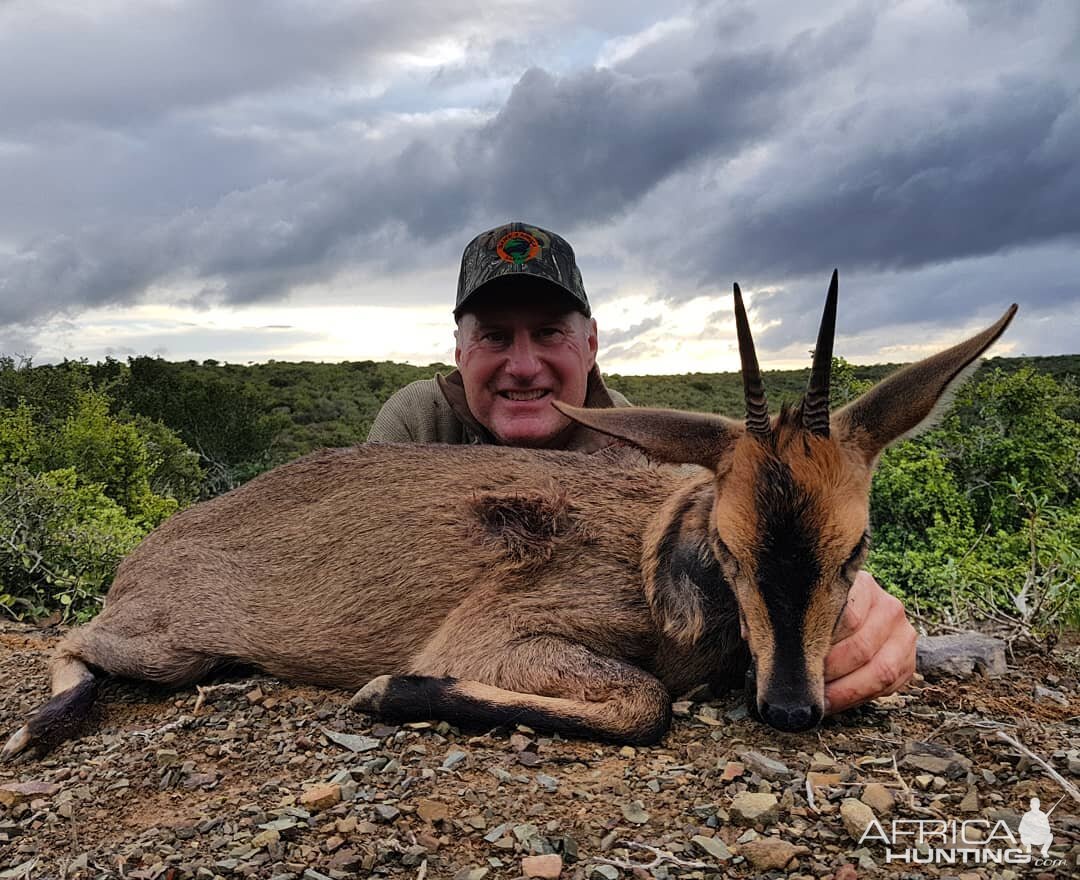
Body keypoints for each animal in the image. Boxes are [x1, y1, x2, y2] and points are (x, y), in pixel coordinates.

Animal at [0, 275, 1015, 755]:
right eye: (727, 547)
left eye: (858, 546)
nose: (794, 710)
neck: (657, 556)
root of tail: (150, 550)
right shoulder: (501, 634)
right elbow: (644, 703)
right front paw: (390, 688)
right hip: (170, 647)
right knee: (78, 643)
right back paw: (40, 726)